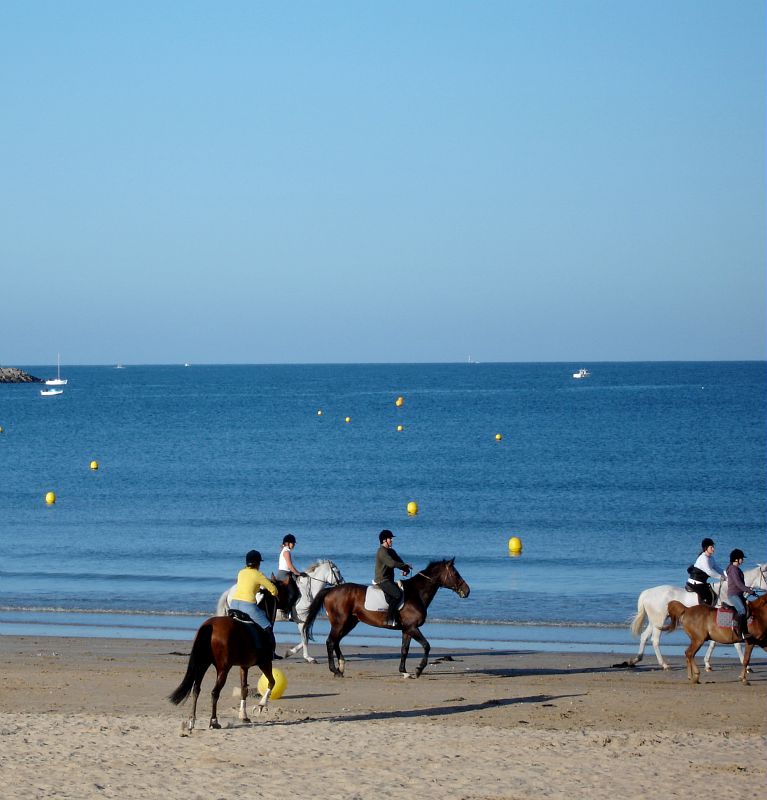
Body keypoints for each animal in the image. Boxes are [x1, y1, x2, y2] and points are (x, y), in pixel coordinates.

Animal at [170, 592, 284, 732]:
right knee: (215, 692)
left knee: (196, 689)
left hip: (202, 664)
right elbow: (272, 682)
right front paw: (261, 705)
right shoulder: (265, 663)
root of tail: (210, 625)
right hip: (223, 669)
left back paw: (192, 721)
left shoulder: (244, 666)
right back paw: (214, 721)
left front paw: (244, 716)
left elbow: (244, 689)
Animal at [218, 556, 346, 664]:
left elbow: (305, 639)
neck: (306, 591)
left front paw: (289, 652)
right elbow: (305, 639)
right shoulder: (302, 622)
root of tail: (229, 591)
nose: (343, 583)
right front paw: (308, 658)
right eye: (338, 571)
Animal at [304, 560, 472, 680]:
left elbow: (404, 650)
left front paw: (404, 672)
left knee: (336, 641)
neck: (416, 593)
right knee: (331, 642)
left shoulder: (407, 630)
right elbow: (426, 646)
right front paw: (418, 670)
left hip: (349, 623)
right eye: (455, 573)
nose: (467, 591)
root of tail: (330, 590)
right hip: (340, 622)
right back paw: (335, 670)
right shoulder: (413, 628)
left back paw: (341, 667)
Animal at [632, 564, 767, 672]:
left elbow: (714, 643)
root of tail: (647, 593)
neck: (727, 592)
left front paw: (707, 664)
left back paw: (636, 659)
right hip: (659, 620)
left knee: (644, 636)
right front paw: (747, 666)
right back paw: (664, 664)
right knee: (655, 640)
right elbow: (733, 644)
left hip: (654, 621)